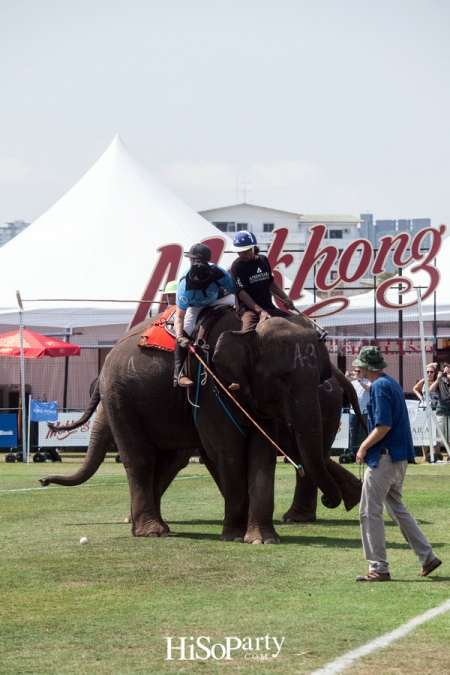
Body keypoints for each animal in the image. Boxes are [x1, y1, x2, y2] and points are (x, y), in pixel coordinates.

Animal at [41, 312, 366, 544]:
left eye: (317, 376)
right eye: (282, 379)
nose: (43, 481)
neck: (249, 330)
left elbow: (257, 452)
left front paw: (261, 539)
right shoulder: (209, 387)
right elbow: (225, 450)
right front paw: (238, 534)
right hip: (123, 399)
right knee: (141, 459)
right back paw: (153, 531)